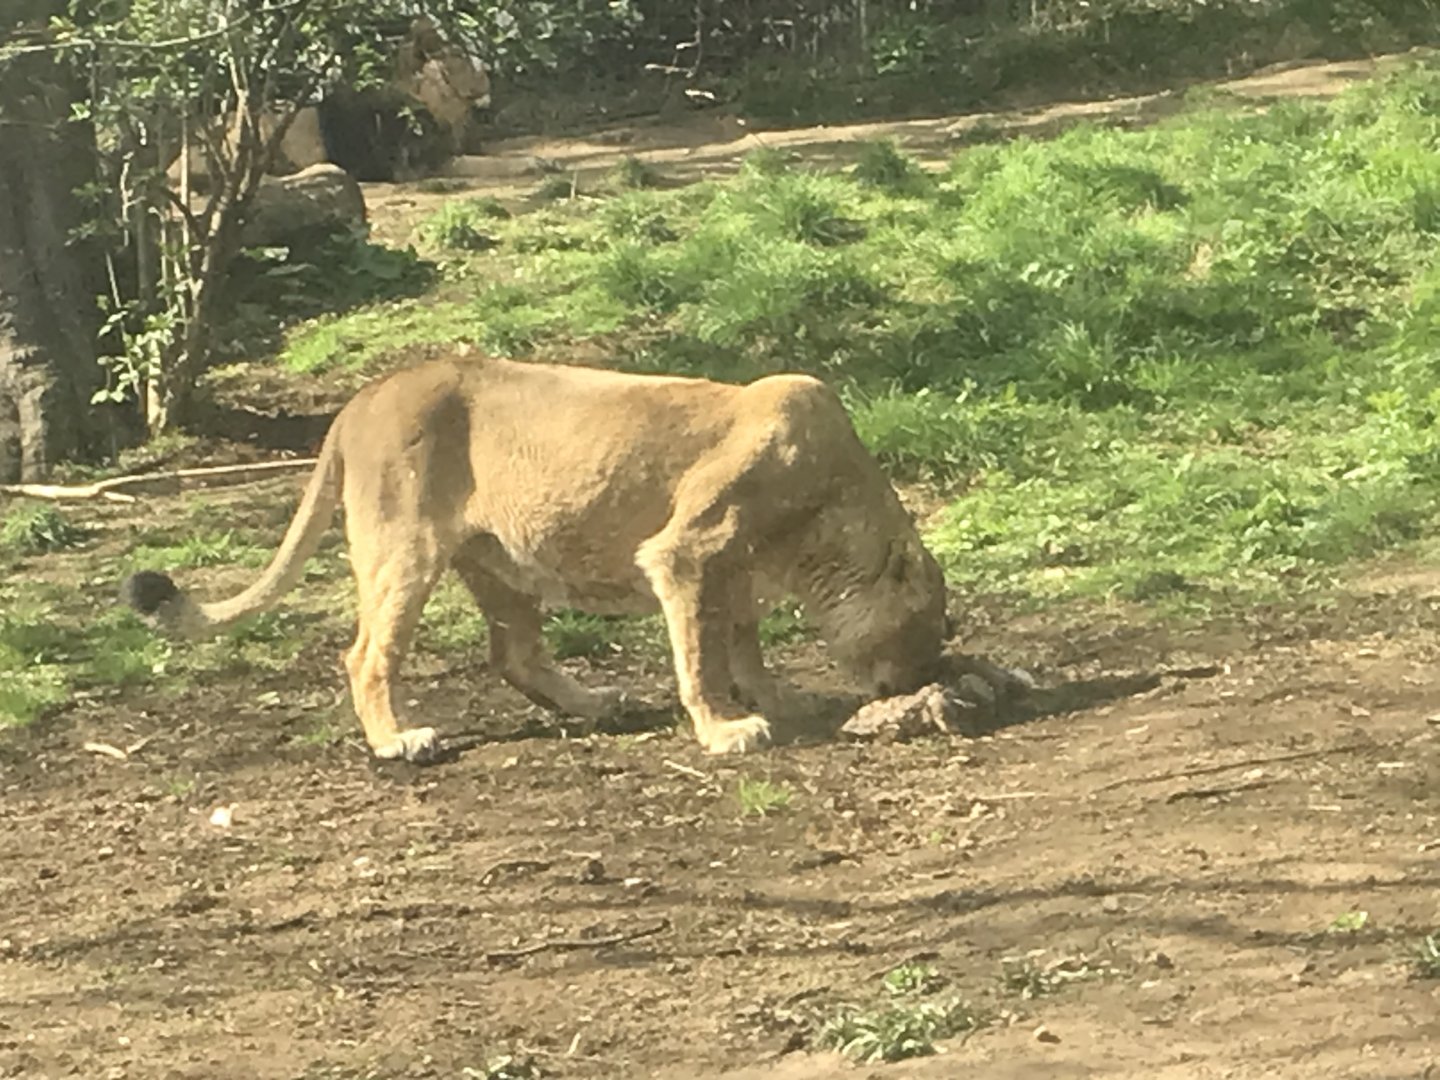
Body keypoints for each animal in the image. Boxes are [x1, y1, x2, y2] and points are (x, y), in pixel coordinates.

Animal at [122, 353, 949, 761]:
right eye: (925, 633)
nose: (921, 681)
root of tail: (360, 398)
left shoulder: (730, 567)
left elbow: (742, 647)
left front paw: (780, 700)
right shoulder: (686, 552)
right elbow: (702, 656)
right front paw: (725, 730)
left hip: (497, 560)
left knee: (514, 655)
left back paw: (594, 702)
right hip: (404, 549)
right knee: (364, 656)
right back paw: (398, 741)